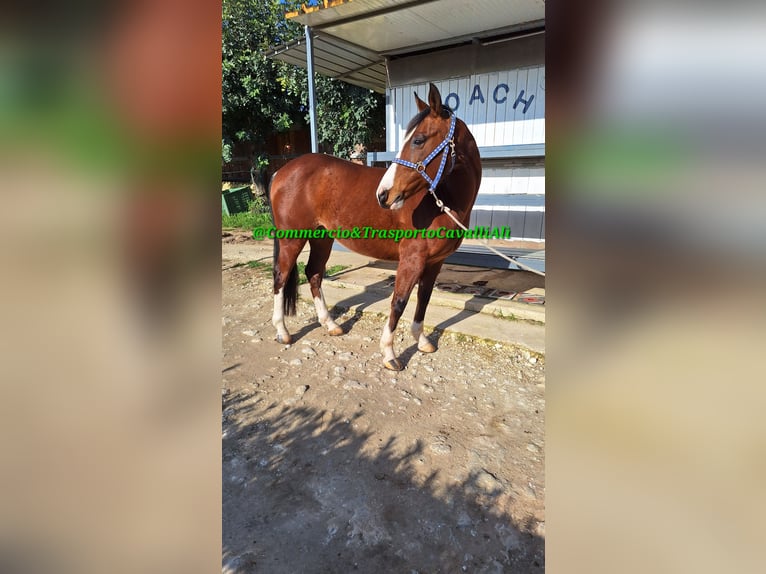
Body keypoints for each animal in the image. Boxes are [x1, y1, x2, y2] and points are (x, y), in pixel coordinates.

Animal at [269, 83, 482, 371]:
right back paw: (282, 332)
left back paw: (331, 325)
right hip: (292, 238)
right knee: (280, 277)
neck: (443, 199)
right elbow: (399, 302)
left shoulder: (435, 262)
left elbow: (423, 299)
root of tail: (281, 172)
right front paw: (390, 354)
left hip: (322, 237)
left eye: (418, 140)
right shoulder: (412, 259)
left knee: (313, 273)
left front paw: (422, 341)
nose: (383, 195)